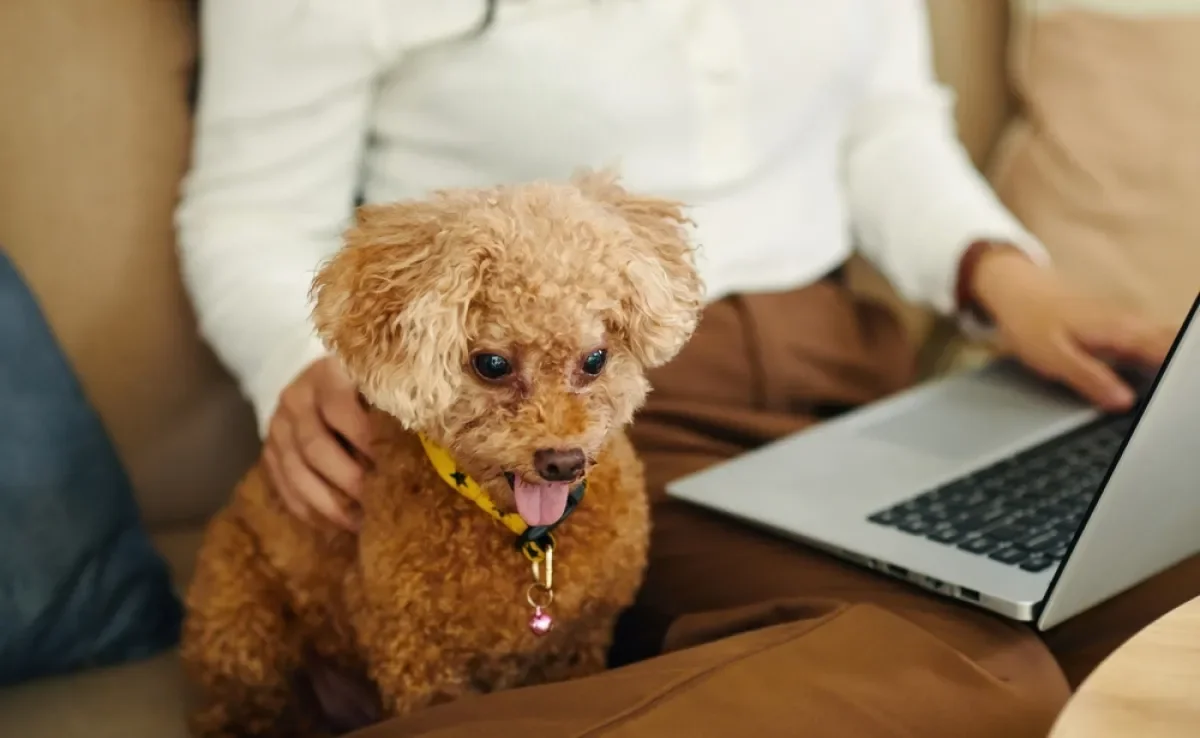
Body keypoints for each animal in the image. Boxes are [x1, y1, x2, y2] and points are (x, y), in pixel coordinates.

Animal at [177, 175, 700, 738]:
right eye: (492, 364)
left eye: (596, 359)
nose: (563, 462)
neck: (522, 535)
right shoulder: (421, 665)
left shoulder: (581, 642)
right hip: (242, 633)